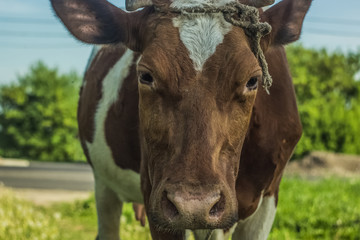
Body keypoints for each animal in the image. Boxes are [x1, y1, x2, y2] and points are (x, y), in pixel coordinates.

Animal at [51, 0, 312, 239]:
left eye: (253, 80)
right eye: (146, 76)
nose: (194, 205)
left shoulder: (268, 196)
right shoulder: (156, 197)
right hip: (104, 185)